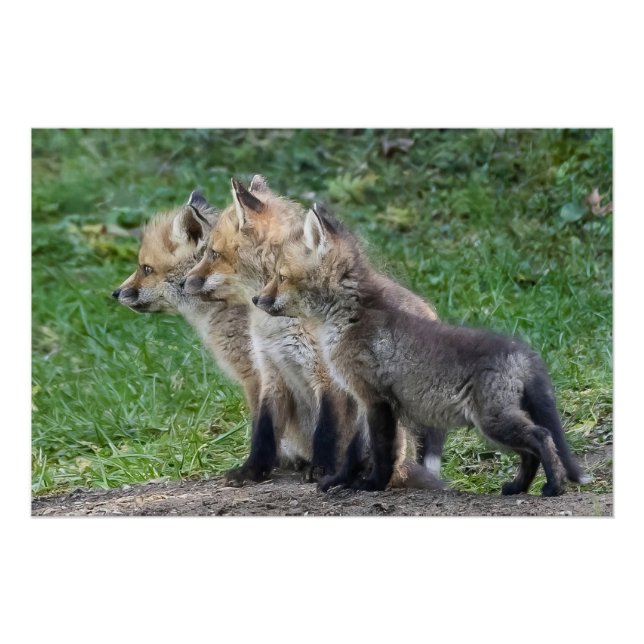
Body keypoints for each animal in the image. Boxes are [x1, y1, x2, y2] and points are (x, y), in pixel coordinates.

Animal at [184, 176, 445, 489]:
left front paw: (321, 470)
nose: (184, 282)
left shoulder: (327, 375)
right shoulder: (272, 372)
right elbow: (263, 433)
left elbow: (327, 431)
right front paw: (252, 471)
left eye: (213, 253)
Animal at [255, 203, 592, 496]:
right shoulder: (363, 401)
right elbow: (354, 452)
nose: (257, 300)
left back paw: (554, 487)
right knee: (529, 452)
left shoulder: (376, 400)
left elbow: (383, 452)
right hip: (497, 425)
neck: (350, 316)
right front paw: (341, 481)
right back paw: (518, 488)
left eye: (281, 277)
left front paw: (373, 485)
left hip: (493, 422)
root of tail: (522, 351)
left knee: (542, 437)